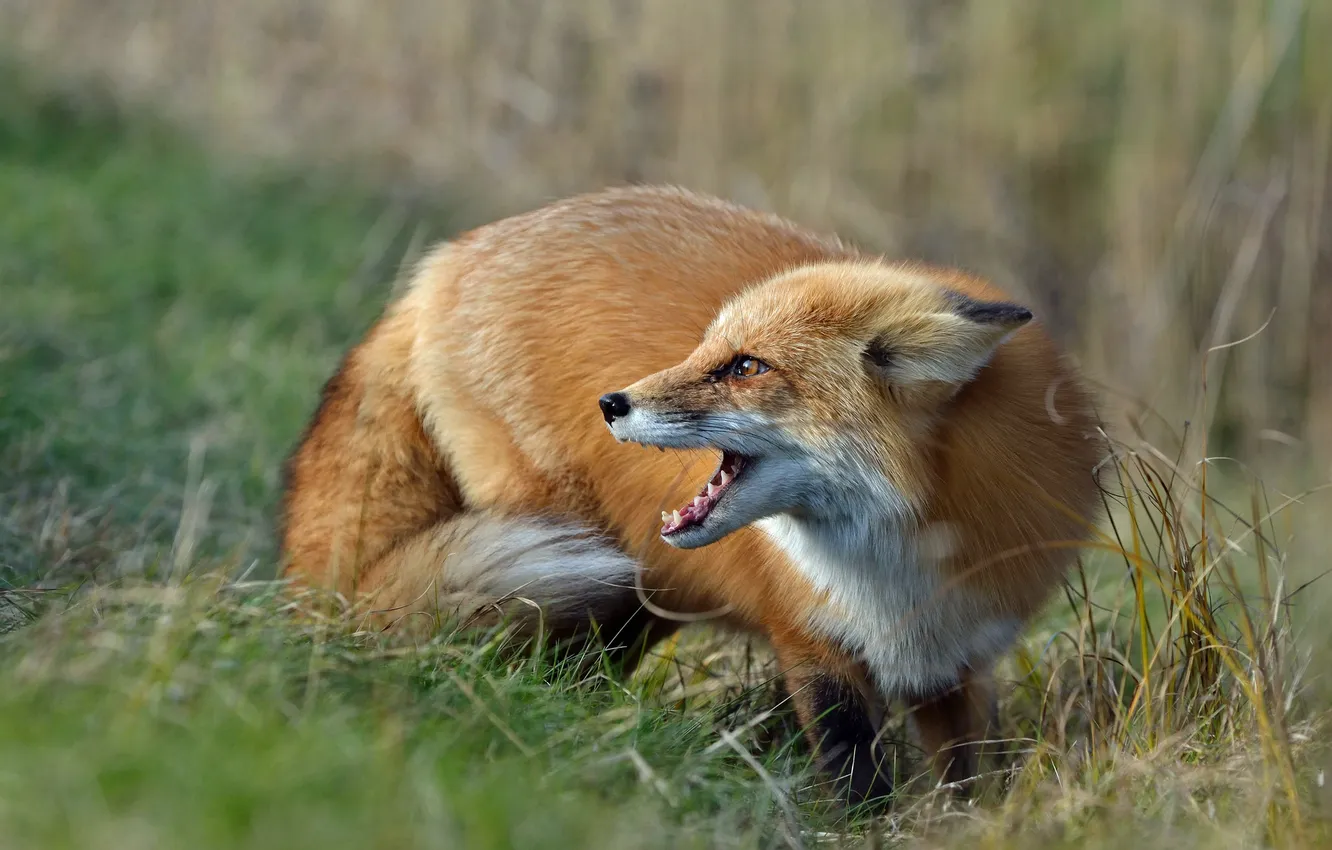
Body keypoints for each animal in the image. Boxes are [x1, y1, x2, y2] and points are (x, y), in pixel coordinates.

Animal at [279, 184, 1105, 805]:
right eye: (706, 350)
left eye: (745, 366)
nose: (611, 403)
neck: (894, 562)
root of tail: (441, 265)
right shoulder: (811, 638)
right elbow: (853, 774)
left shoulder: (958, 658)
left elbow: (971, 778)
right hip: (580, 552)